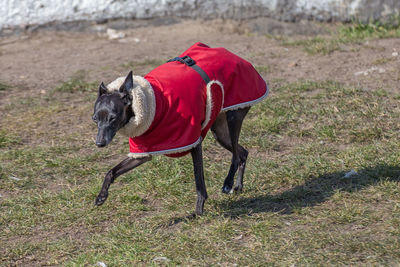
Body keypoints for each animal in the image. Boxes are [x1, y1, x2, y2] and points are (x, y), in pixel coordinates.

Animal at [93, 43, 268, 217]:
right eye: (95, 118)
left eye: (113, 118)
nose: (99, 143)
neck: (156, 103)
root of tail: (235, 56)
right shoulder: (142, 153)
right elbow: (111, 171)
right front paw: (101, 196)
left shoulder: (193, 141)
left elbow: (199, 181)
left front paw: (198, 212)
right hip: (220, 132)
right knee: (243, 152)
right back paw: (238, 186)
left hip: (234, 117)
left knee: (236, 156)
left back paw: (228, 183)